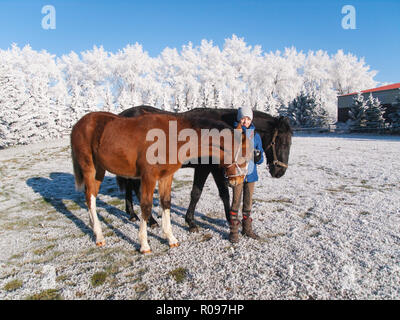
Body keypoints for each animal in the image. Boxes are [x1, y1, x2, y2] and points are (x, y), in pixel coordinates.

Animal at [70, 111, 248, 254]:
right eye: (244, 155)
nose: (238, 180)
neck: (170, 138)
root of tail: (79, 124)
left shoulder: (166, 177)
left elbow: (166, 203)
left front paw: (171, 238)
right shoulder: (149, 177)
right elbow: (146, 206)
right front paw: (144, 244)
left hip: (99, 170)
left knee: (91, 197)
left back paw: (94, 228)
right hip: (90, 169)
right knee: (90, 198)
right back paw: (99, 236)